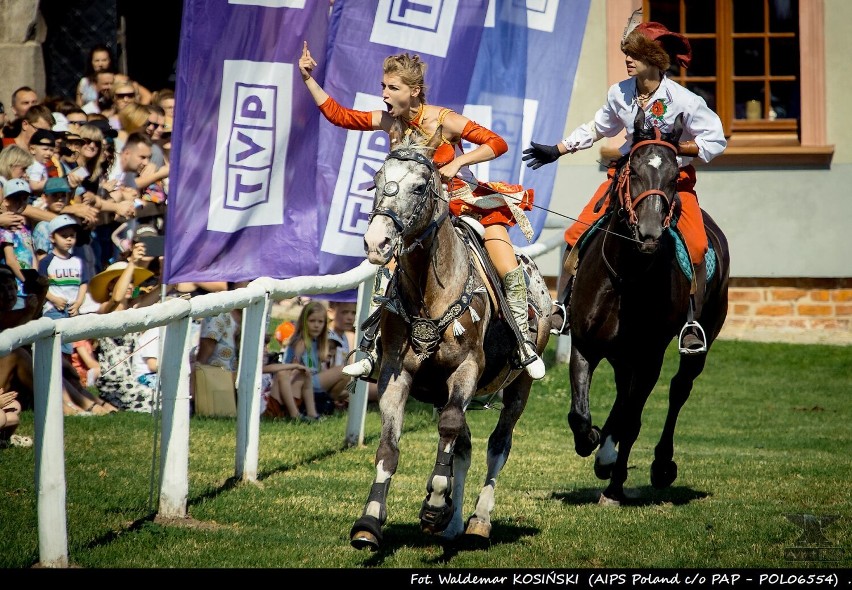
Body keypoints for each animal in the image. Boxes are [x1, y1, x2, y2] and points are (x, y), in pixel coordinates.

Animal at [564, 110, 724, 504]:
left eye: (673, 177)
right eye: (633, 172)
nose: (650, 233)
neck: (627, 276)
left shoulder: (650, 356)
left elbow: (634, 421)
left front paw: (615, 486)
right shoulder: (585, 345)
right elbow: (580, 414)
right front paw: (593, 442)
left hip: (696, 343)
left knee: (679, 388)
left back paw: (660, 465)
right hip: (622, 355)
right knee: (624, 394)